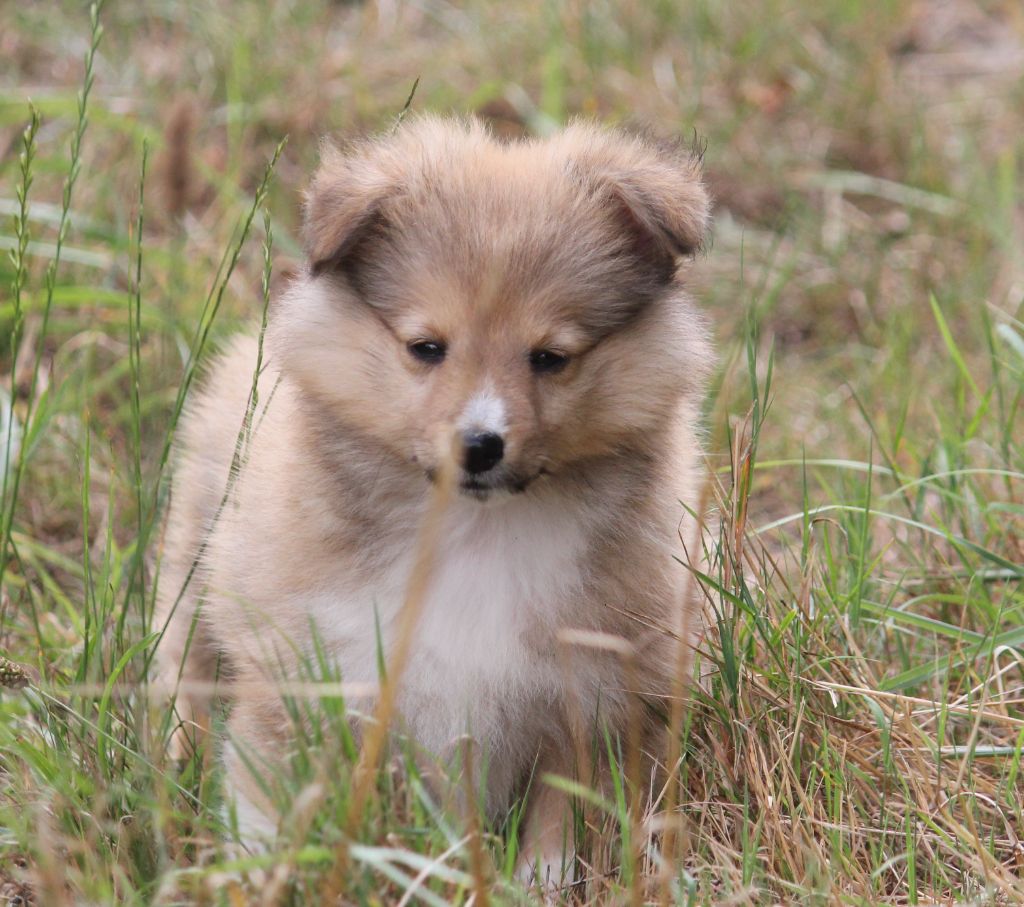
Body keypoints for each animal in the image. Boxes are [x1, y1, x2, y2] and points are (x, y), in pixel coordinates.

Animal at [154, 114, 713, 890]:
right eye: (427, 347)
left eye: (550, 357)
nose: (479, 445)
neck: (474, 531)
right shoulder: (299, 671)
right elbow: (267, 806)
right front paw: (257, 879)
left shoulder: (592, 700)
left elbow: (557, 832)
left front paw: (532, 890)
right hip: (193, 575)